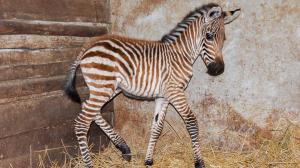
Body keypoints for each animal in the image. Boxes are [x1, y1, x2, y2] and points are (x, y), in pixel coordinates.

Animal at [64, 2, 240, 168]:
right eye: (209, 36)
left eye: (224, 38)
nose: (218, 70)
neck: (181, 54)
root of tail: (89, 44)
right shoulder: (175, 92)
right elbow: (191, 122)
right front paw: (199, 162)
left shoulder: (164, 96)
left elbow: (157, 127)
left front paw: (148, 160)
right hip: (103, 87)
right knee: (81, 123)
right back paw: (91, 163)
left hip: (107, 88)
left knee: (90, 109)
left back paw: (124, 148)